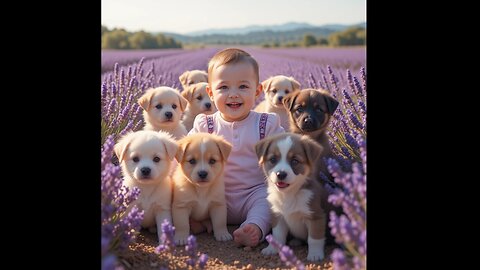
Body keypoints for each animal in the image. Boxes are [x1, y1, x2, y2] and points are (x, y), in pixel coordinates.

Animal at [255, 133, 330, 262]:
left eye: (295, 161)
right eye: (273, 159)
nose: (281, 174)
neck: (288, 195)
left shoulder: (316, 217)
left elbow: (314, 239)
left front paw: (315, 254)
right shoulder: (278, 216)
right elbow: (277, 235)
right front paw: (272, 249)